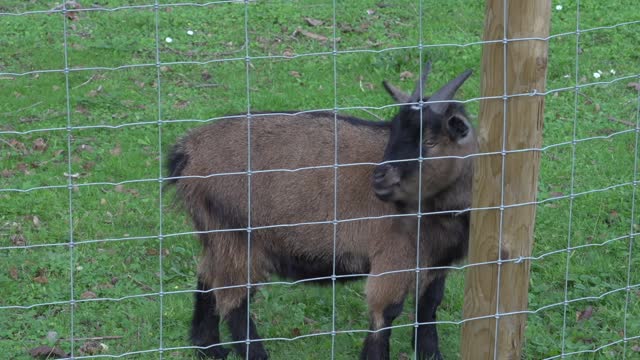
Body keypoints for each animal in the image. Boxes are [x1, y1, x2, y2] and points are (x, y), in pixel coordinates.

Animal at [165, 63, 476, 358]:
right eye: (394, 133)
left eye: (430, 141)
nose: (380, 178)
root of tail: (188, 152)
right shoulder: (394, 255)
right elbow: (385, 314)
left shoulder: (436, 261)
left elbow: (429, 306)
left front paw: (431, 354)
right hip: (236, 236)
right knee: (233, 300)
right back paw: (254, 354)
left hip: (217, 236)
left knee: (207, 282)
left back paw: (210, 350)